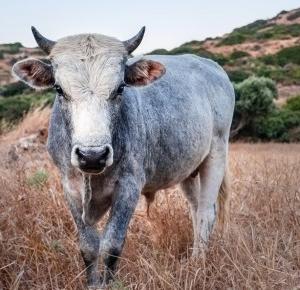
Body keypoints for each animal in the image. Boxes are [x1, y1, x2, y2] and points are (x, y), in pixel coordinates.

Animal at [12, 26, 236, 288]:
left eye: (120, 88)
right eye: (59, 89)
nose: (92, 156)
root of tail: (212, 67)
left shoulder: (129, 187)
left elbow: (111, 245)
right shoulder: (70, 187)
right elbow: (88, 246)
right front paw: (92, 283)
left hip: (217, 155)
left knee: (206, 213)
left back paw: (197, 264)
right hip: (188, 170)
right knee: (195, 209)